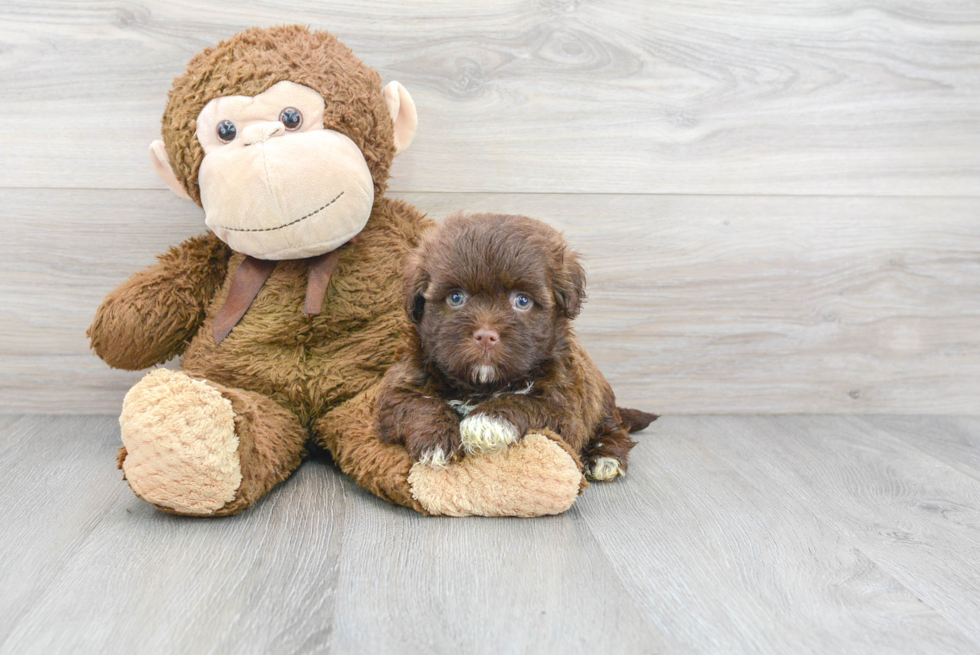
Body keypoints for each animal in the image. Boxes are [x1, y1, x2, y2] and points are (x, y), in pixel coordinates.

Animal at [376, 213, 660, 480]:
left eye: (522, 301)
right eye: (456, 297)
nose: (486, 336)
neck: (483, 385)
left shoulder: (565, 405)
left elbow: (528, 403)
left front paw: (485, 421)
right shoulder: (398, 387)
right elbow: (416, 404)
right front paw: (435, 439)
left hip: (601, 403)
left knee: (614, 429)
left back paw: (606, 457)